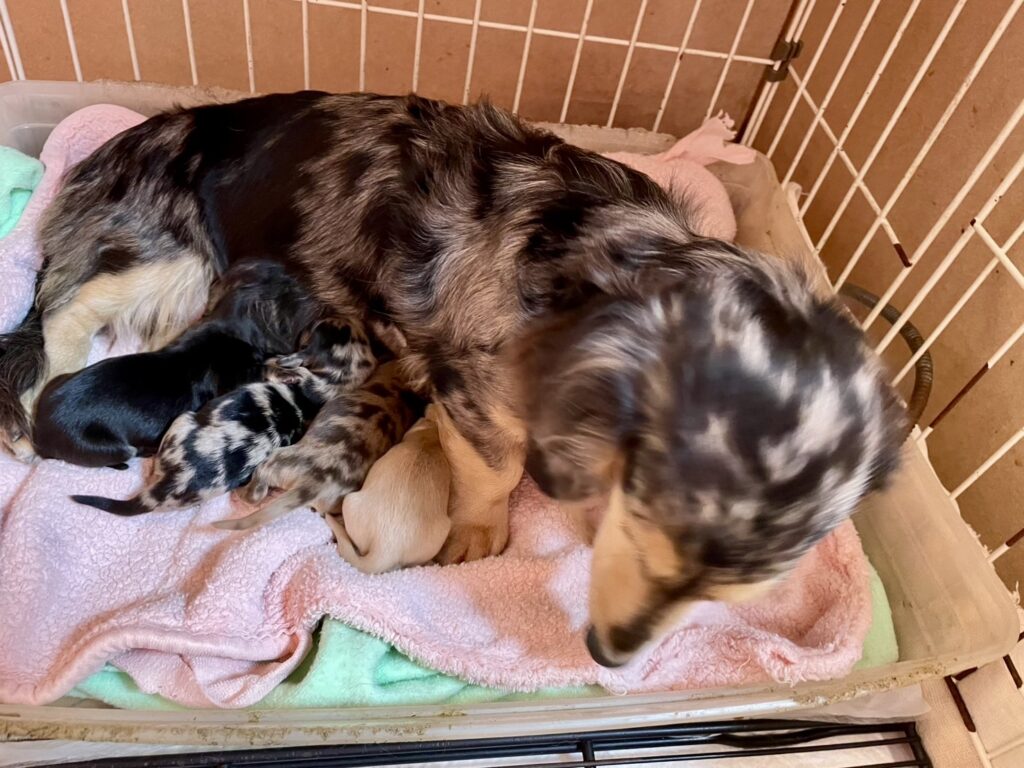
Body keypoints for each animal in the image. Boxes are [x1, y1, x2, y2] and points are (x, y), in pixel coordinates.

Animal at [31, 261, 319, 468]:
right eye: (291, 289)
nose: (312, 292)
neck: (228, 320)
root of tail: (38, 434)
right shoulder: (236, 377)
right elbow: (261, 369)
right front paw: (286, 371)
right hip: (110, 446)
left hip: (59, 379)